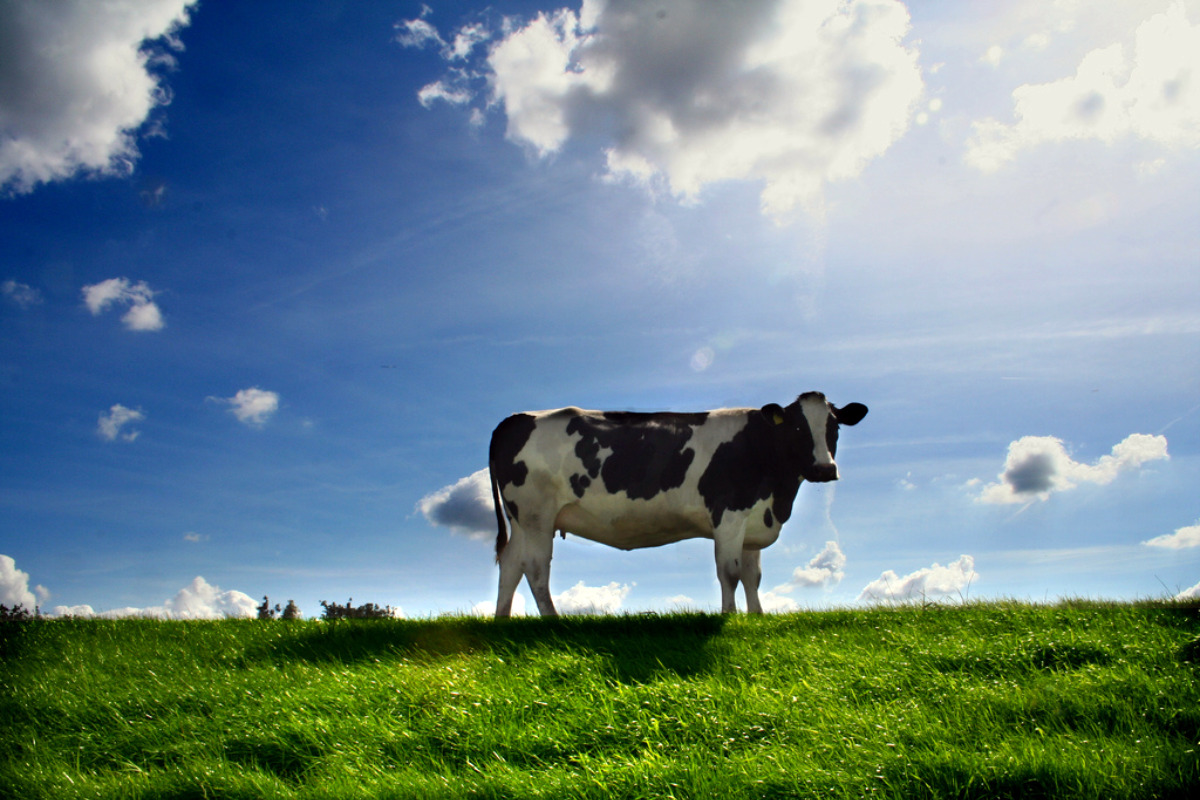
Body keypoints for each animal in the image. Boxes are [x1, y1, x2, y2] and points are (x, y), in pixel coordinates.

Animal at [482, 393, 868, 618]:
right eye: (798, 428)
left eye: (834, 427)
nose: (824, 469)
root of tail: (516, 417)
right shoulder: (729, 514)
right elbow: (729, 572)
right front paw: (730, 617)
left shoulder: (754, 521)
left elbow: (752, 576)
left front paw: (757, 617)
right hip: (537, 515)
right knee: (535, 568)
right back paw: (553, 621)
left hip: (521, 519)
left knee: (511, 564)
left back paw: (503, 621)